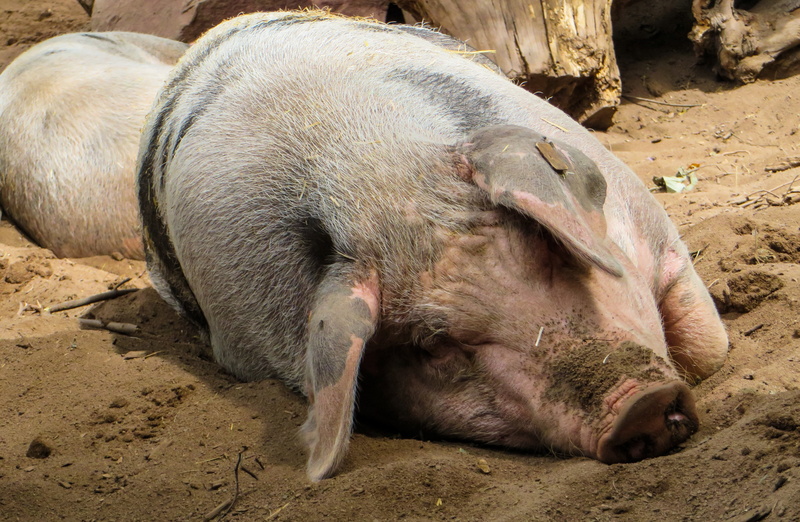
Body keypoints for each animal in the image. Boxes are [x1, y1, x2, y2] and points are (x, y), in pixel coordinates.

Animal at [137, 11, 729, 480]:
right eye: (433, 345)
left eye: (544, 248)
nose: (641, 405)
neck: (372, 177)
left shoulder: (651, 226)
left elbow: (707, 347)